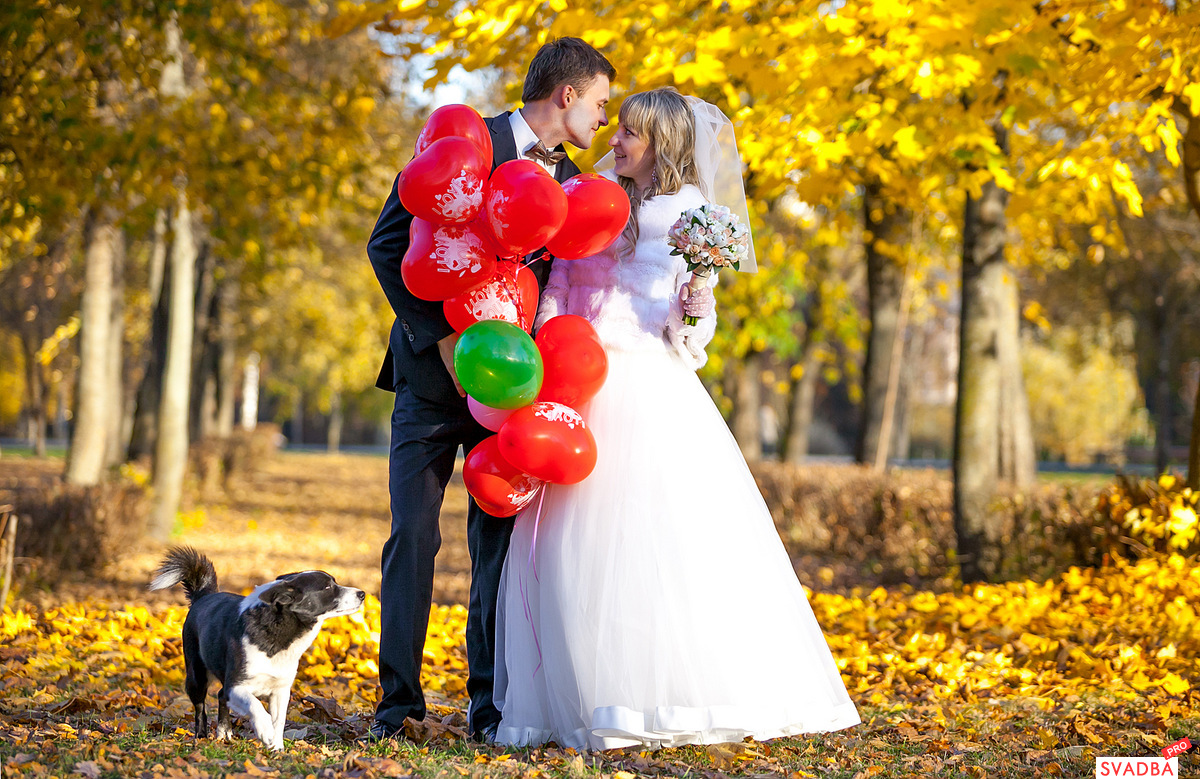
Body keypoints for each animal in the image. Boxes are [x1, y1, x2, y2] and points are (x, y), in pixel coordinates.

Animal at [147, 544, 360, 748]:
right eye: (327, 587)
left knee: (221, 695)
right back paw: (201, 737)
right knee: (201, 709)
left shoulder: (281, 690)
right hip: (196, 676)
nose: (362, 593)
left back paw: (225, 733)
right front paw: (265, 732)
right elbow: (257, 706)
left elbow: (279, 721)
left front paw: (276, 747)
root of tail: (203, 596)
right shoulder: (237, 686)